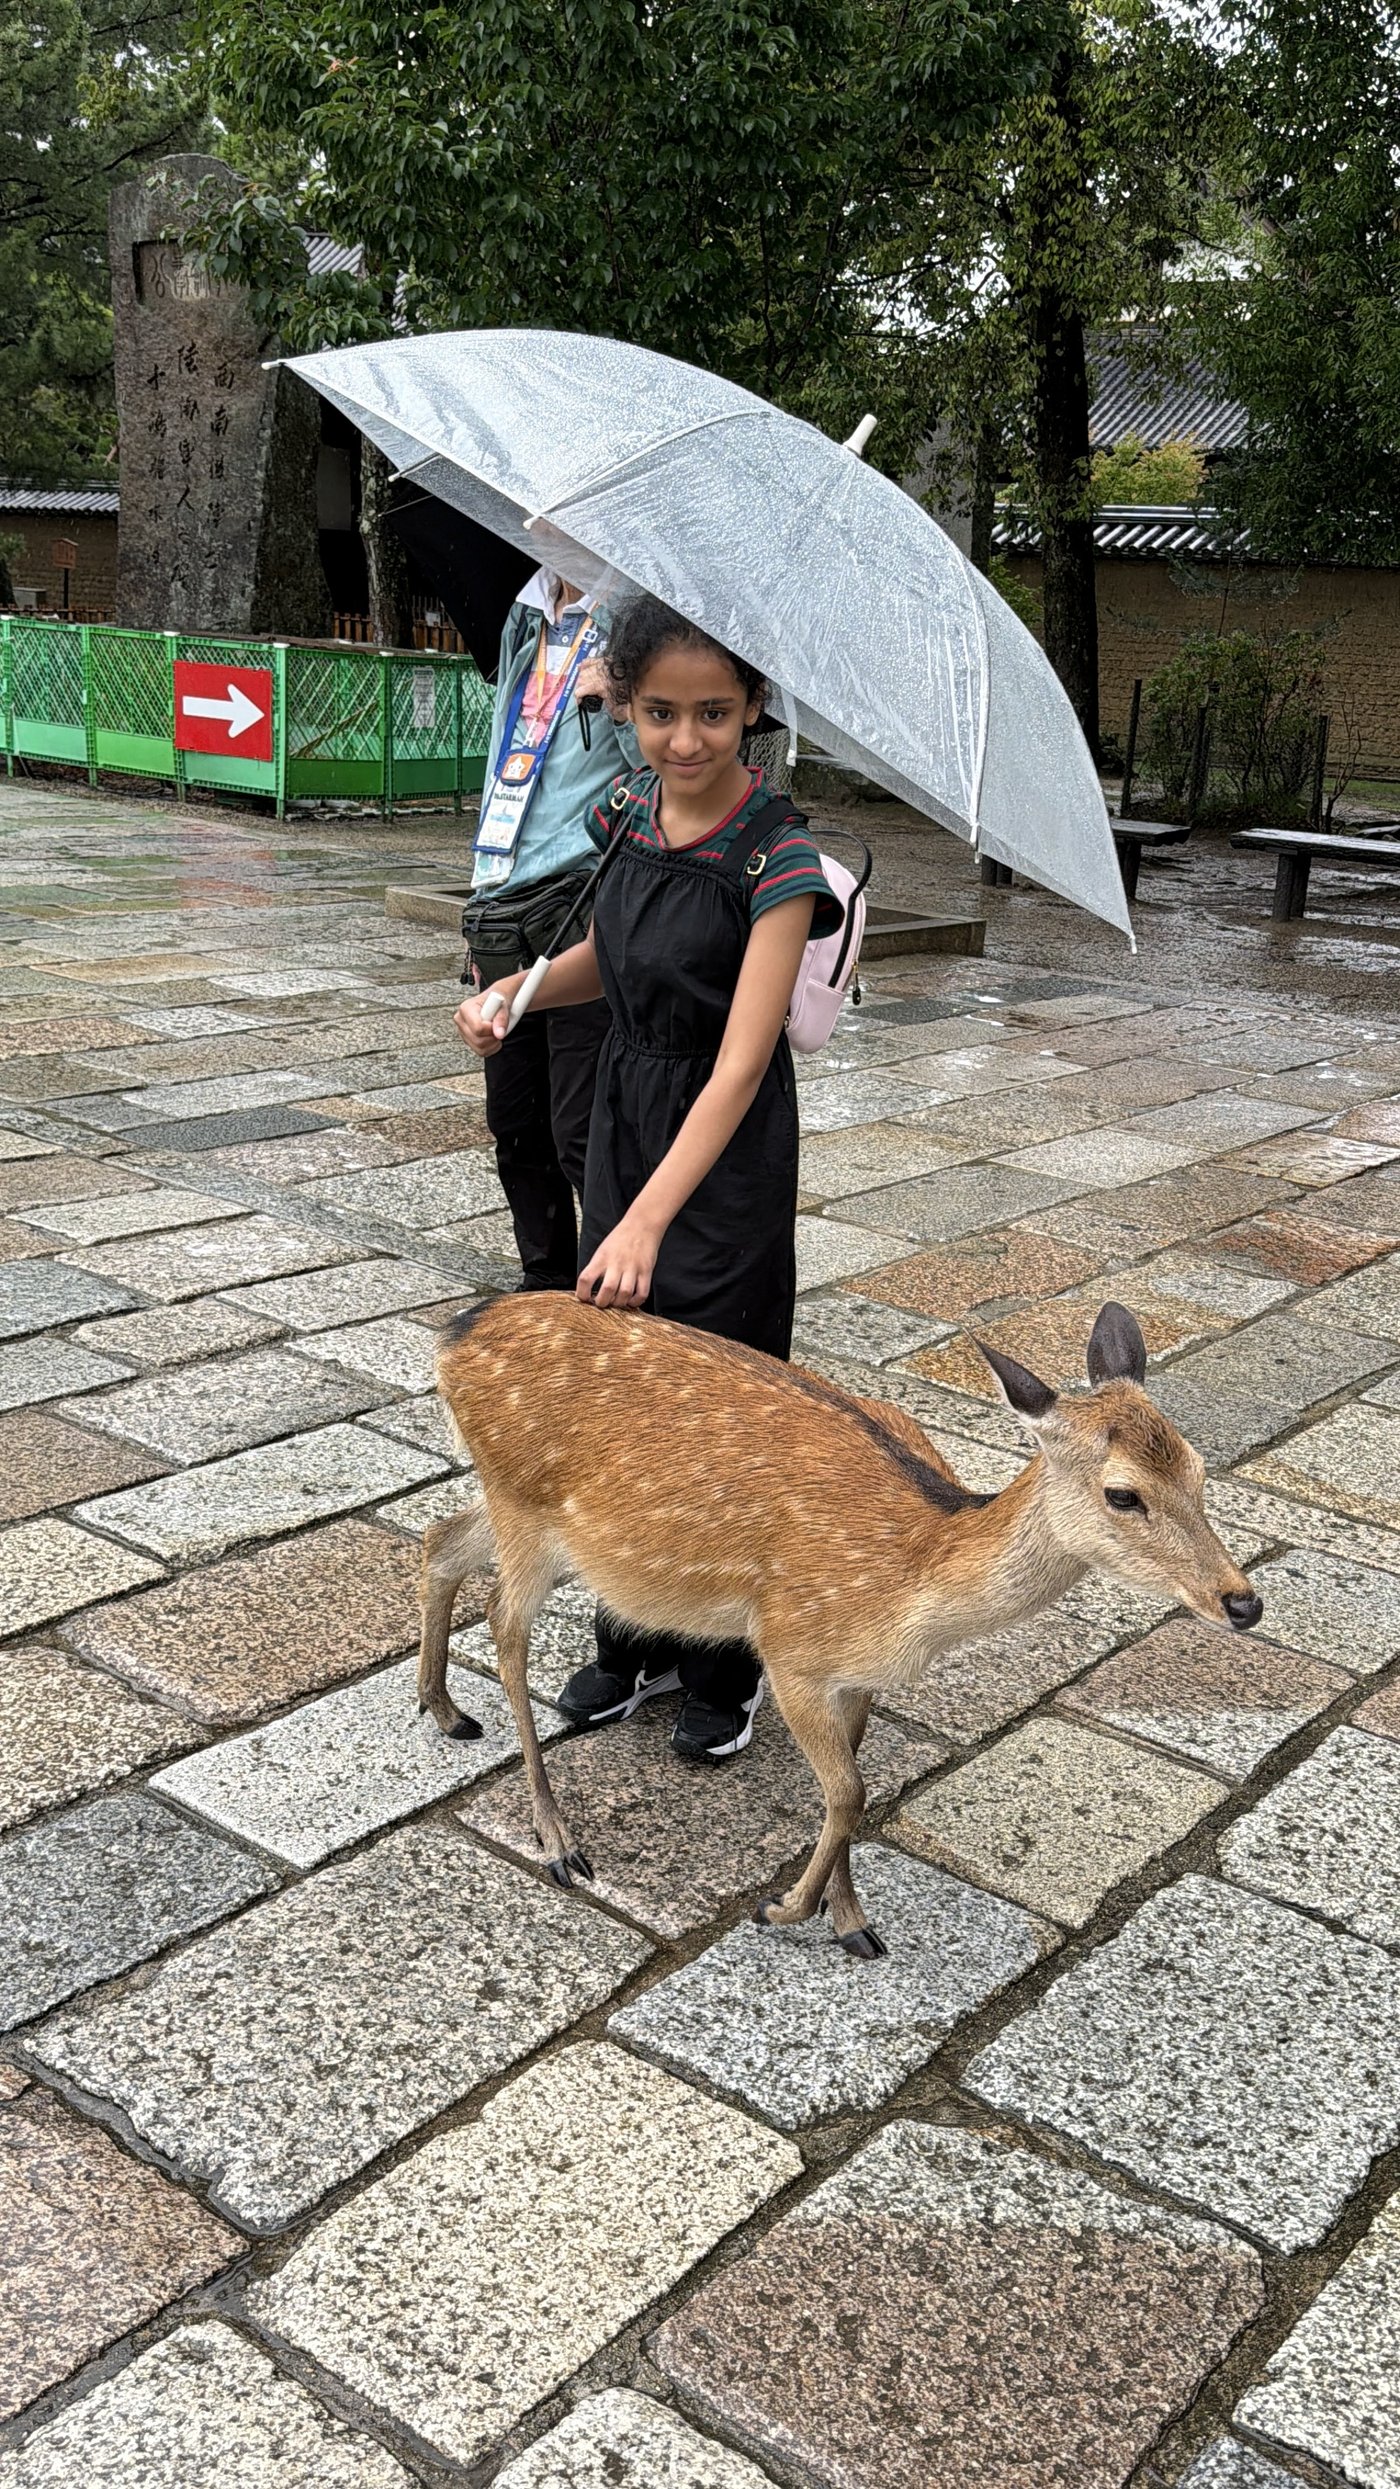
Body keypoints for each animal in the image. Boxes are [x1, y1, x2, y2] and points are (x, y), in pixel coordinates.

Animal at [416, 1293, 1262, 1959]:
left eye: (1199, 1469)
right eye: (1123, 1493)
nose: (1243, 1601)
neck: (909, 1587)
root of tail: (453, 1331)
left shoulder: (858, 1675)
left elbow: (852, 1788)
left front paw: (849, 1920)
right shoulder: (790, 1648)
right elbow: (849, 1790)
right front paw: (785, 1908)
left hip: (524, 1513)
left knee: (439, 1537)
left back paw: (445, 1709)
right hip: (524, 1505)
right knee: (503, 1625)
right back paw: (559, 1842)